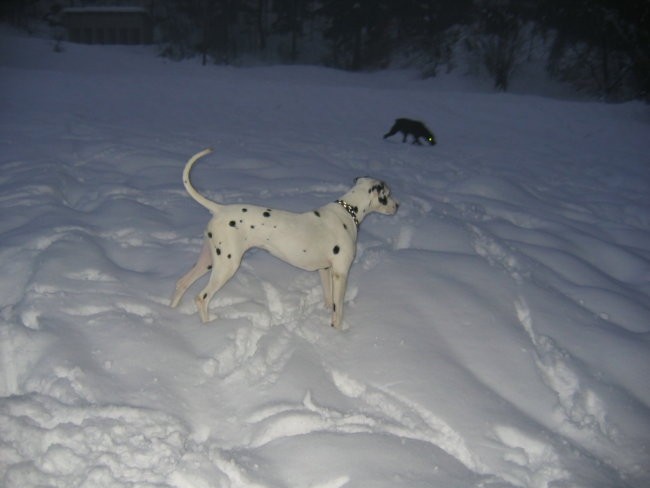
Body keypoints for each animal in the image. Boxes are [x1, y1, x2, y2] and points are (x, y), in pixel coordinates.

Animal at [170, 148, 398, 328]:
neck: (348, 211)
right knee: (201, 297)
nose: (398, 206)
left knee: (181, 283)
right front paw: (337, 333)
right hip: (227, 265)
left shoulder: (325, 270)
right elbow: (338, 310)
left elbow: (328, 299)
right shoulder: (341, 273)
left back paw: (171, 314)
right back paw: (208, 326)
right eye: (388, 194)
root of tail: (219, 209)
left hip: (208, 260)